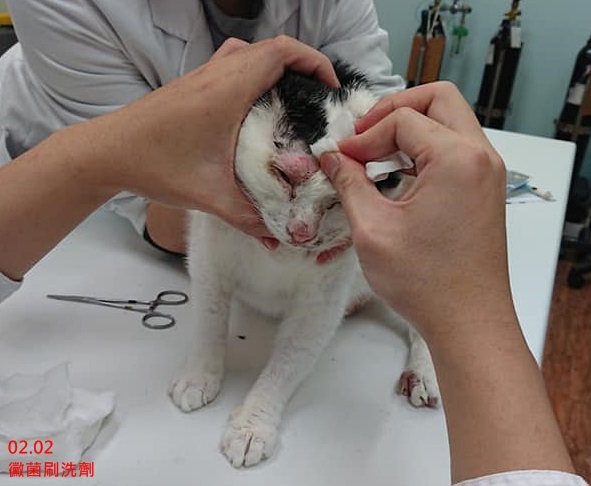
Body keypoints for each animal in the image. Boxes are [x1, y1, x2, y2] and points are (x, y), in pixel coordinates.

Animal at [168, 62, 440, 468]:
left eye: (337, 201)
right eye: (285, 175)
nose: (302, 232)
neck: (279, 253)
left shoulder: (322, 300)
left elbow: (290, 359)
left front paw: (252, 425)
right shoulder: (207, 256)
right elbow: (208, 320)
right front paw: (200, 375)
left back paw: (423, 373)